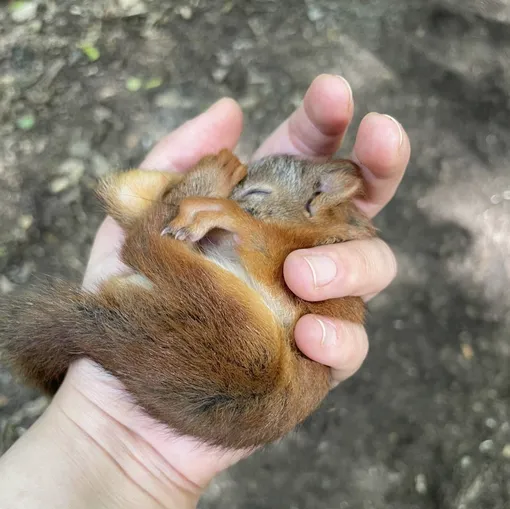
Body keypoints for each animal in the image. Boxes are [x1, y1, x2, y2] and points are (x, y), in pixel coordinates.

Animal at [0, 148, 374, 448]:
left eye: (257, 191)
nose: (235, 193)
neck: (306, 233)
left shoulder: (292, 277)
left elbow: (252, 235)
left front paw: (217, 208)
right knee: (124, 201)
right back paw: (209, 172)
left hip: (245, 339)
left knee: (143, 241)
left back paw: (210, 178)